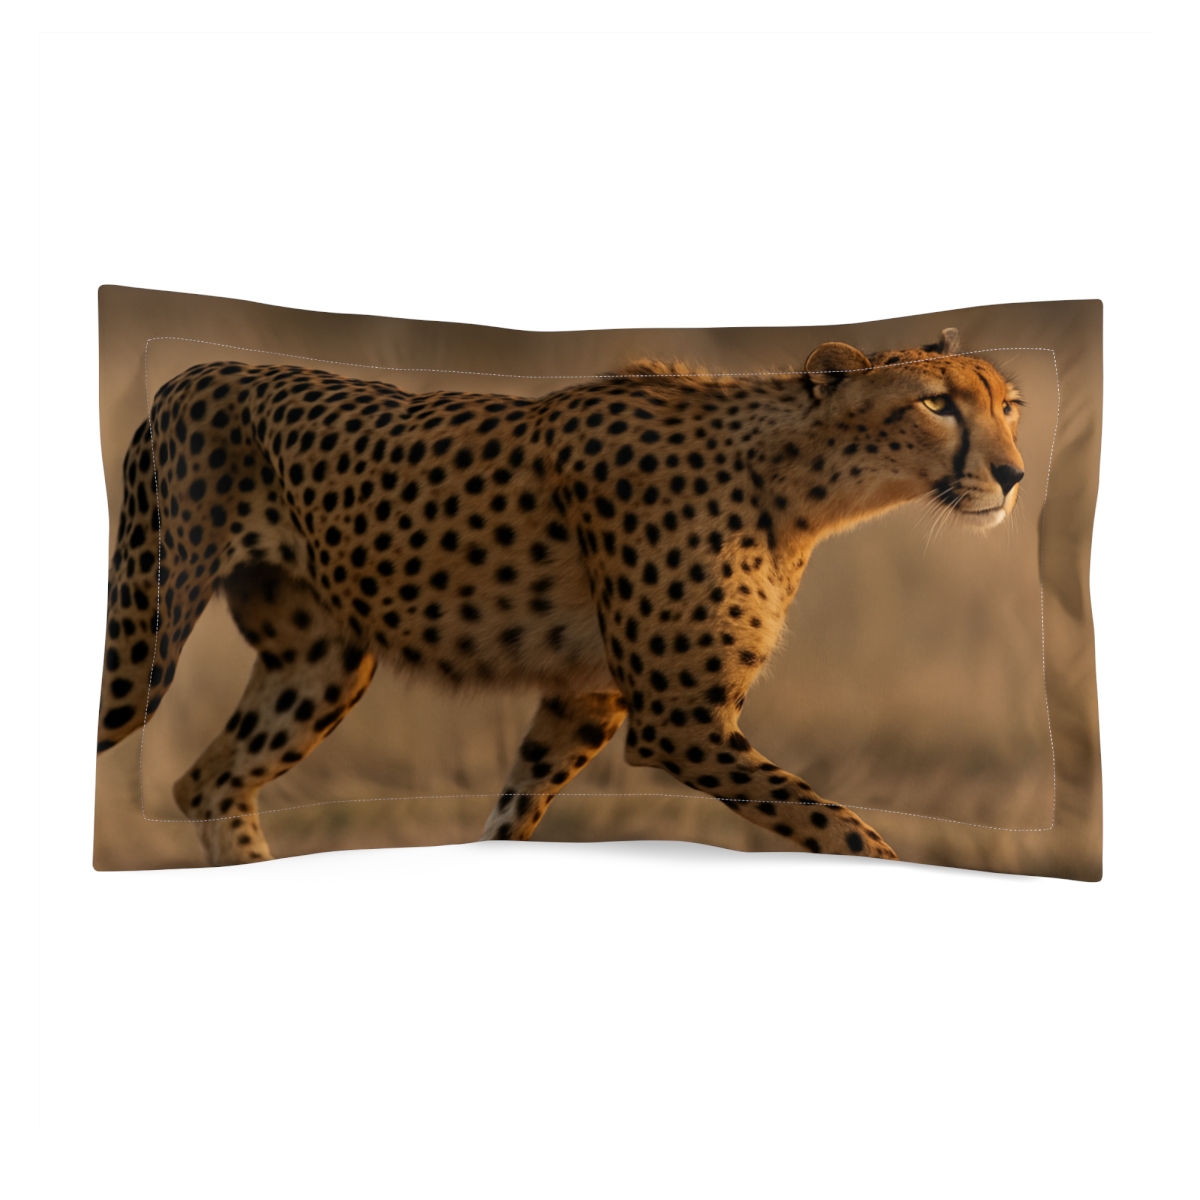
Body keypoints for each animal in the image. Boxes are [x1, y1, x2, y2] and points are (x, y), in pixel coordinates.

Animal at [97, 327, 1025, 866]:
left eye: (1010, 405)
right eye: (937, 404)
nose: (1015, 475)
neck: (803, 485)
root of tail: (192, 369)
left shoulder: (587, 700)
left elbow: (512, 818)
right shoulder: (677, 721)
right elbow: (843, 829)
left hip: (321, 665)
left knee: (207, 781)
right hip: (145, 644)